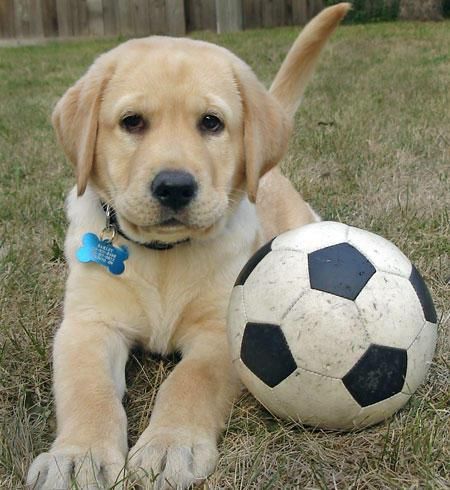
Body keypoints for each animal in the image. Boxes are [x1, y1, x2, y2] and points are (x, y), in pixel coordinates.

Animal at [28, 4, 350, 490]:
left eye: (211, 123)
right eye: (132, 122)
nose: (175, 187)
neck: (164, 256)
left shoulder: (222, 330)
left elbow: (189, 381)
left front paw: (169, 446)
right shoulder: (88, 324)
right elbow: (88, 389)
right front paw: (79, 455)